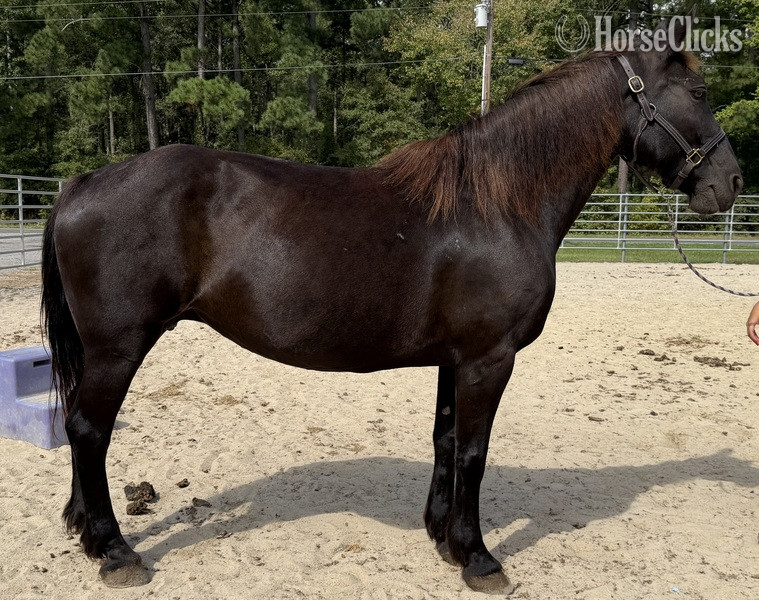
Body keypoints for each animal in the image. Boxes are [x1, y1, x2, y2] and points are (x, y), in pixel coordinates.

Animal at [41, 24, 742, 593]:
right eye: (700, 93)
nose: (729, 184)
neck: (498, 204)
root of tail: (82, 184)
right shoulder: (489, 359)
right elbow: (473, 453)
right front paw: (478, 558)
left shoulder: (456, 359)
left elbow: (445, 440)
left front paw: (442, 538)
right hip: (120, 346)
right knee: (89, 430)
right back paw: (114, 551)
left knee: (82, 428)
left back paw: (85, 531)